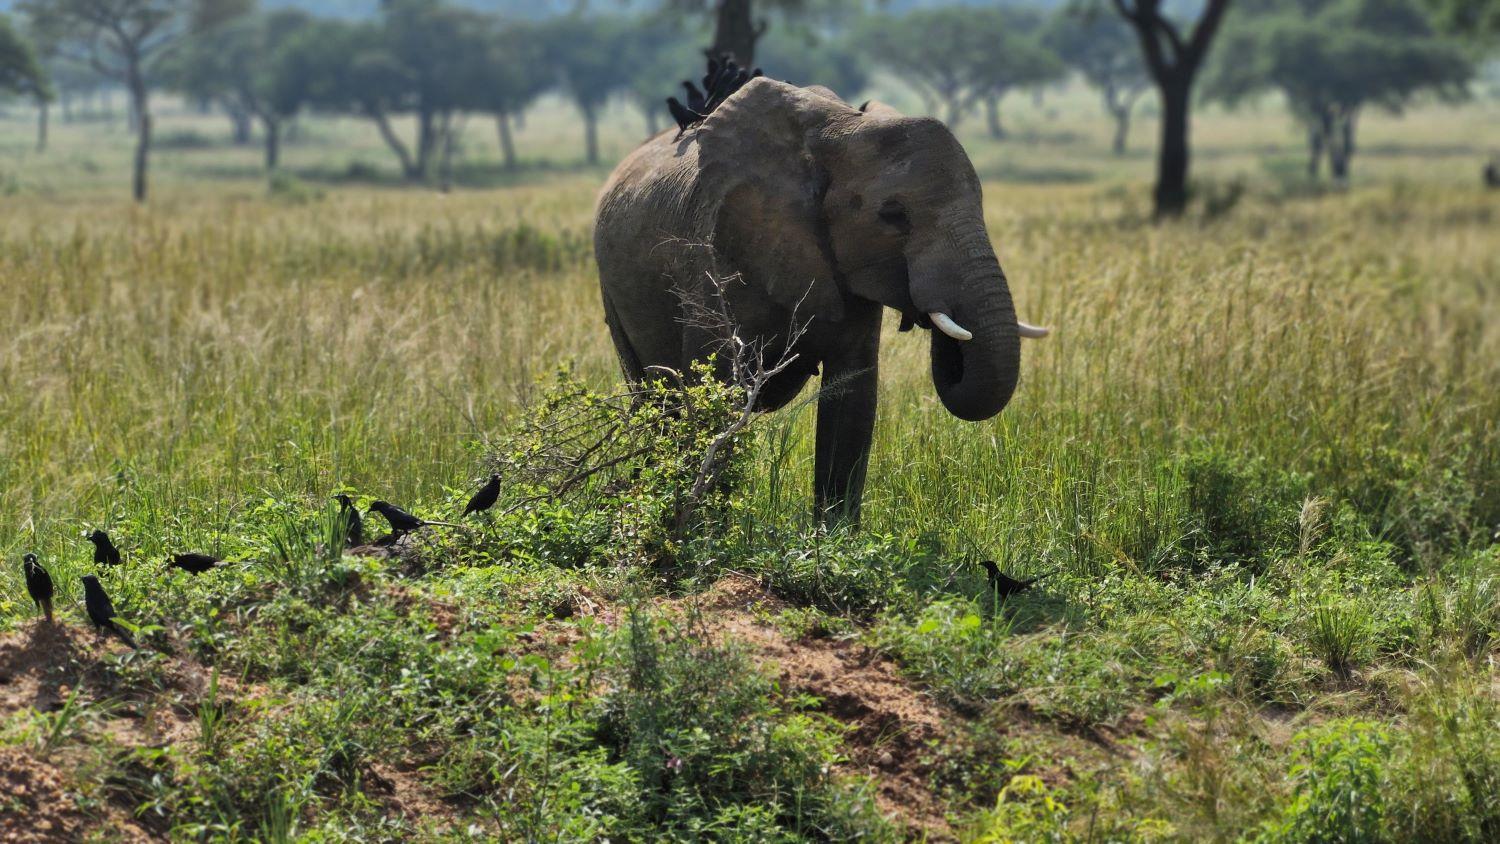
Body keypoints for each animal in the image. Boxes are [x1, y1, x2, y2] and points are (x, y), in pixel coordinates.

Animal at [594, 80, 1044, 527]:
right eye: (893, 215)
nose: (930, 314)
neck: (843, 130)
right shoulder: (715, 256)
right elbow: (716, 393)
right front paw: (706, 530)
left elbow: (852, 399)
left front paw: (834, 538)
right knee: (655, 401)